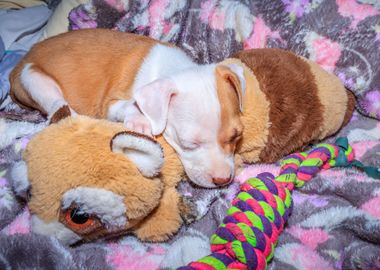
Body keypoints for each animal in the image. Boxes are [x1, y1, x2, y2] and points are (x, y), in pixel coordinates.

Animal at [10, 28, 245, 187]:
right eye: (188, 144)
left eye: (236, 137)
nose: (222, 180)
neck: (174, 70)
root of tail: (19, 63)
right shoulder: (112, 103)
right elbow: (130, 106)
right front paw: (140, 122)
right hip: (33, 79)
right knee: (57, 106)